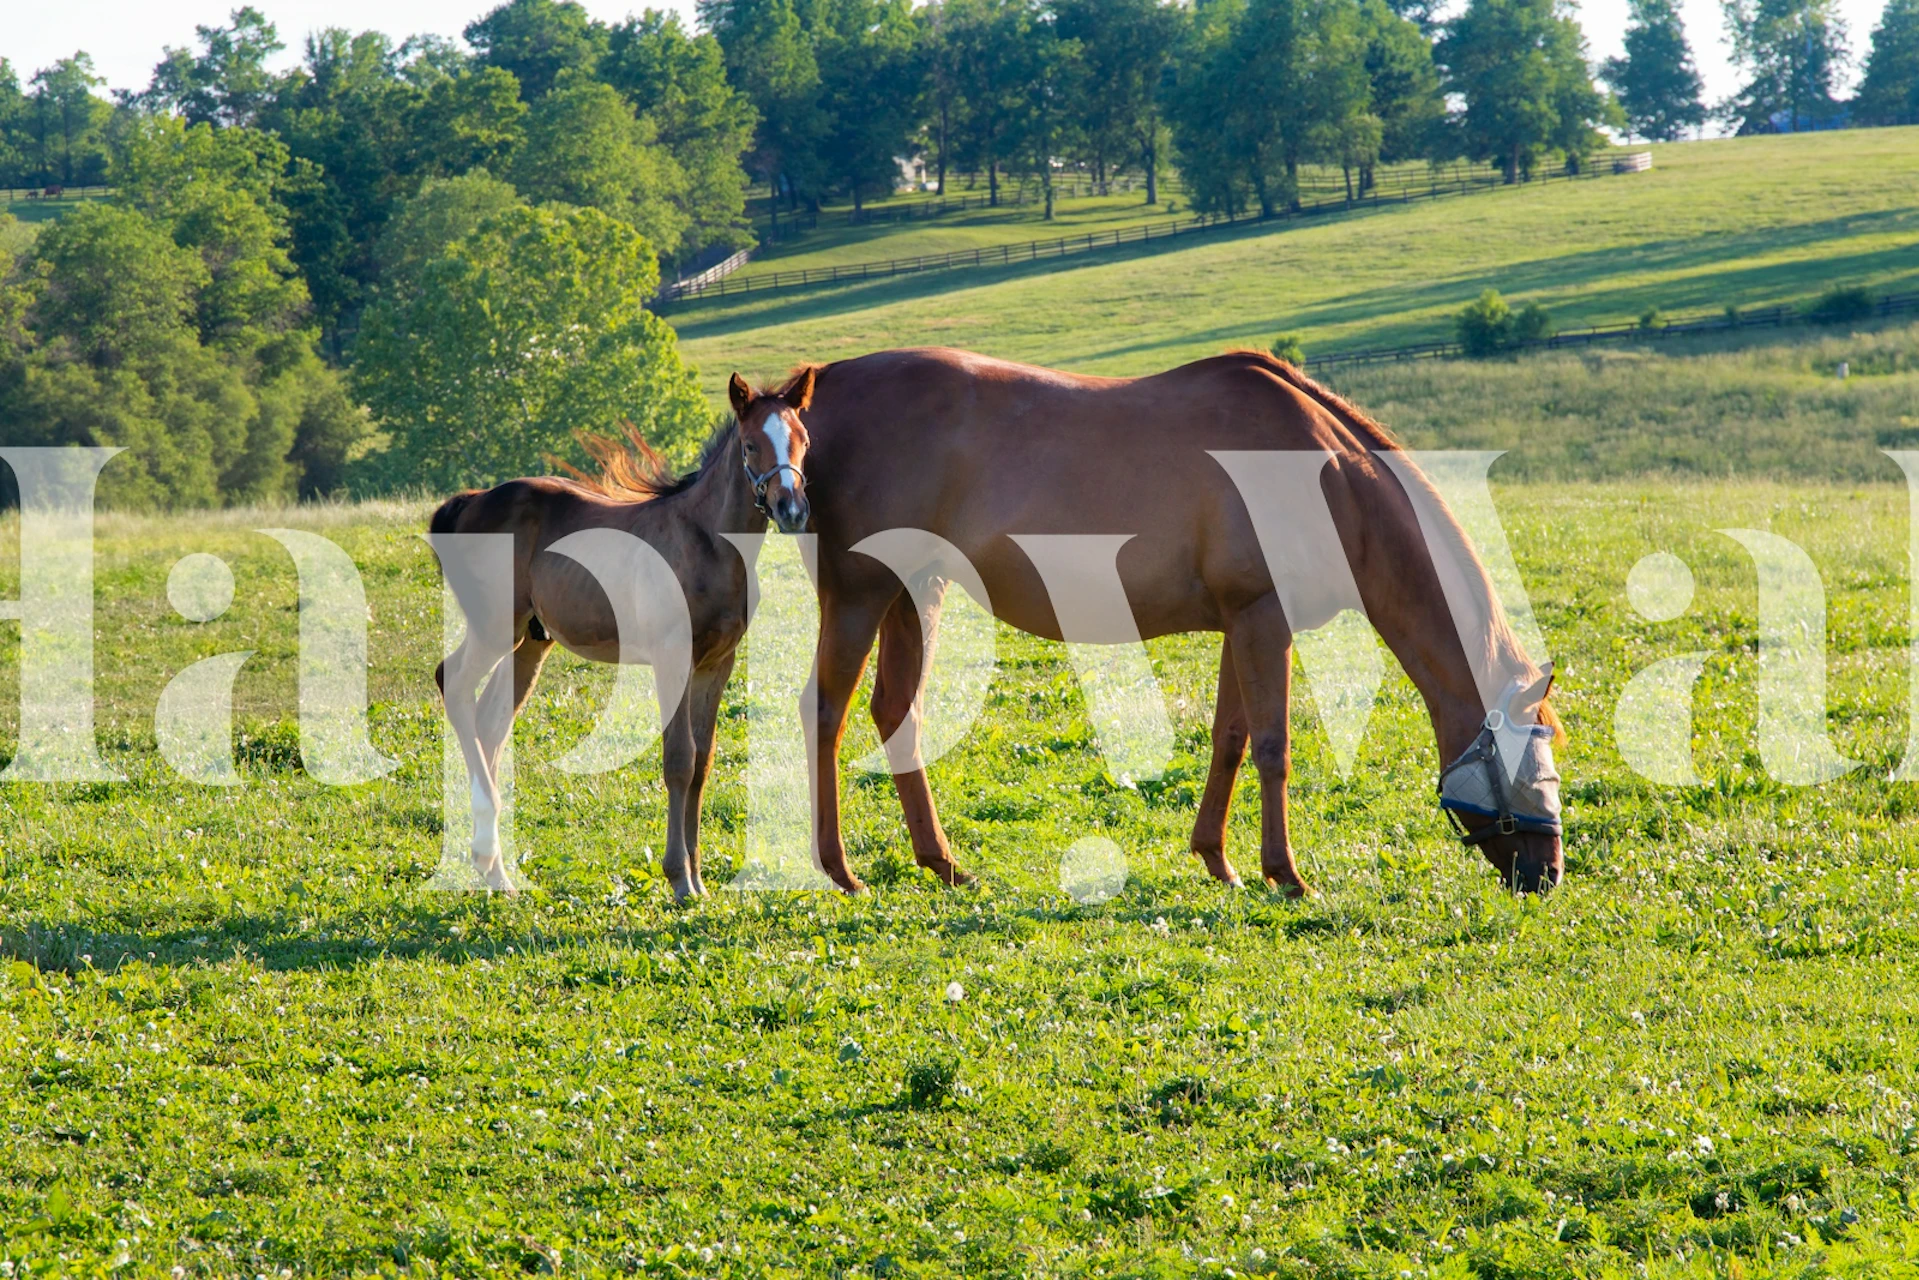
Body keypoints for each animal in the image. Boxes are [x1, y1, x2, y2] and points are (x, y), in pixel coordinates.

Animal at [429, 368, 818, 897]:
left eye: (802, 440)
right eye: (751, 444)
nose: (791, 508)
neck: (707, 542)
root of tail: (468, 502)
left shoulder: (718, 663)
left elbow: (704, 761)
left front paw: (699, 879)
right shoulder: (671, 657)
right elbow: (679, 759)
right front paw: (679, 879)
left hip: (531, 640)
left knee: (490, 722)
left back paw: (496, 871)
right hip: (494, 628)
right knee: (453, 684)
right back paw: (488, 853)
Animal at [791, 347, 1565, 898]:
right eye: (1532, 756)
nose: (1550, 872)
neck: (1329, 479)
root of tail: (814, 394)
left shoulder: (1243, 625)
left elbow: (1230, 739)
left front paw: (1218, 860)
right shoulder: (1263, 622)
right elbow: (1274, 747)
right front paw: (1286, 874)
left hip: (915, 593)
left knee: (897, 712)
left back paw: (941, 863)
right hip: (861, 595)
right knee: (826, 711)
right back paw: (838, 869)